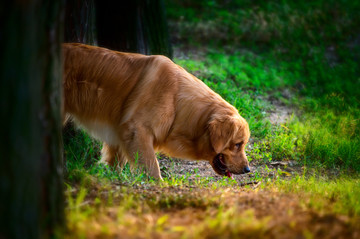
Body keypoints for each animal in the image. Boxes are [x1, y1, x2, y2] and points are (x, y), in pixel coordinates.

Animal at [62, 44, 250, 180]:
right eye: (238, 144)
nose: (248, 169)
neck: (177, 101)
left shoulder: (120, 133)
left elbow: (116, 163)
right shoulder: (136, 130)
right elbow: (152, 167)